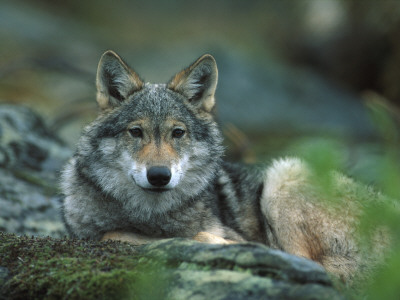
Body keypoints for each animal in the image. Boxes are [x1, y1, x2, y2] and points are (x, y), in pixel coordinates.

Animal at [61, 49, 390, 286]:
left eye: (177, 133)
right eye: (135, 132)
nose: (159, 176)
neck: (150, 214)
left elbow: (128, 235)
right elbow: (112, 234)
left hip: (284, 175)